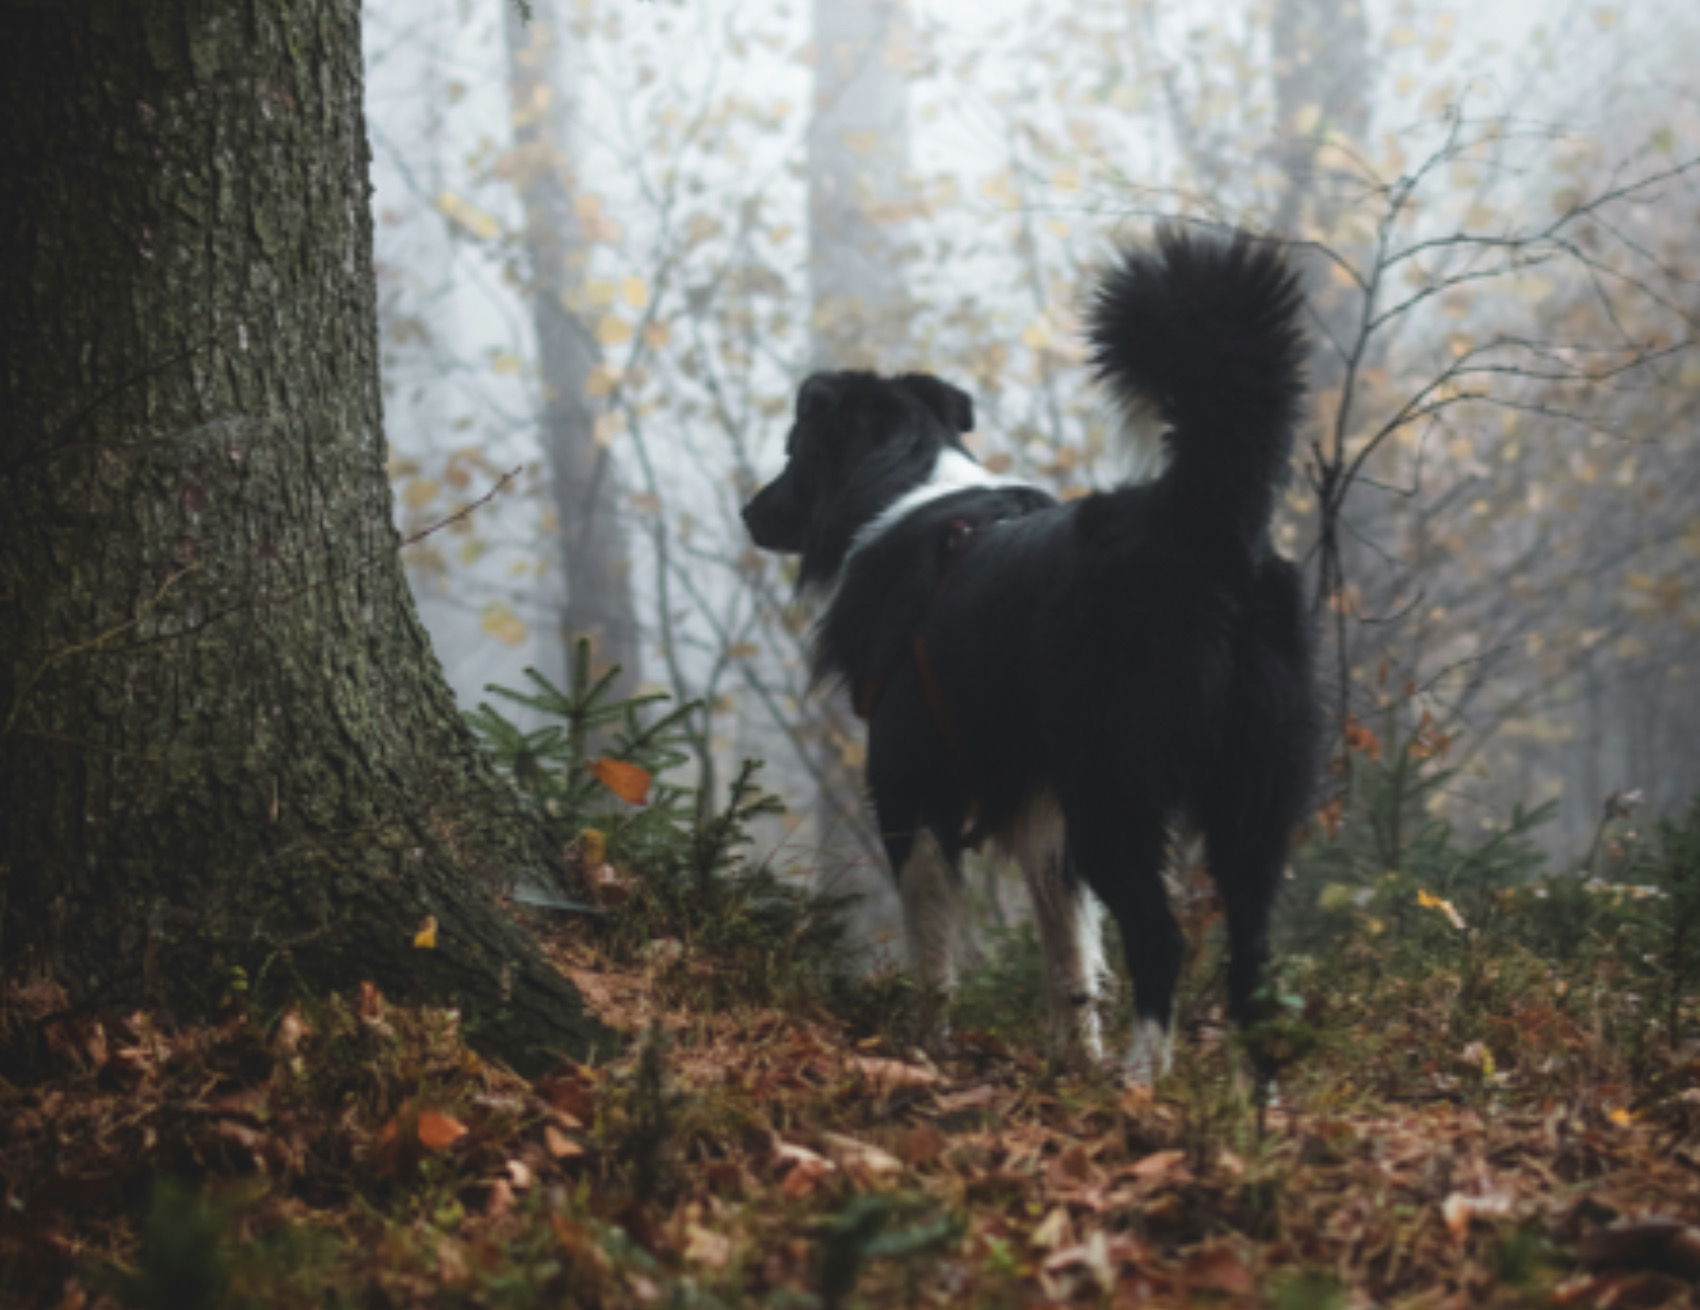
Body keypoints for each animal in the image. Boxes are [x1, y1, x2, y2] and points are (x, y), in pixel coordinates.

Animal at [741, 225, 1312, 1080]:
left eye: (791, 448)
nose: (748, 512)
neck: (905, 486)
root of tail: (1203, 521)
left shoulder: (911, 789)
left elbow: (934, 950)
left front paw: (925, 1051)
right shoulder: (1044, 810)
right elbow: (1069, 954)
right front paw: (1069, 1059)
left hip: (1114, 784)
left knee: (1162, 936)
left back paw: (1140, 1080)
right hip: (1250, 796)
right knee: (1255, 953)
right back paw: (1249, 1103)